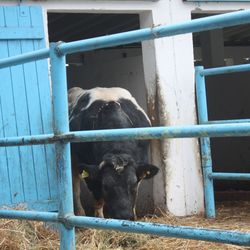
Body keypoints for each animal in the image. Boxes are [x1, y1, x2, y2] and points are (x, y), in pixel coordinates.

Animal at [68, 87, 158, 220]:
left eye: (133, 184)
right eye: (105, 186)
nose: (124, 215)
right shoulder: (90, 171)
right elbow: (98, 199)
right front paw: (99, 219)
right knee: (75, 187)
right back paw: (79, 213)